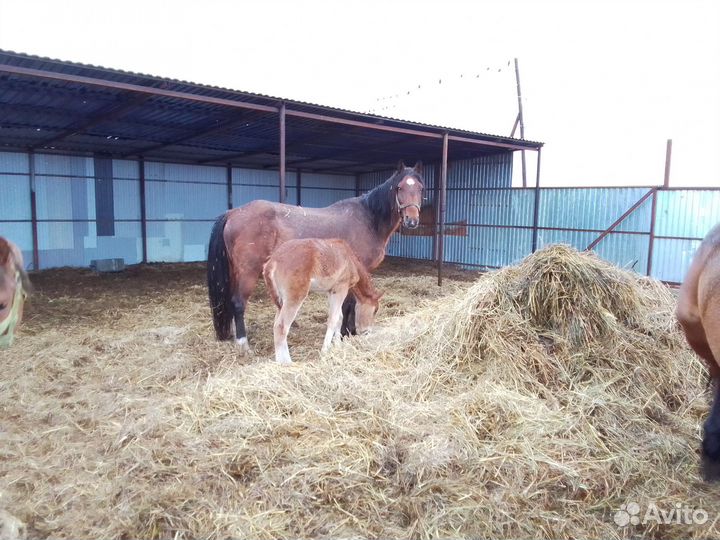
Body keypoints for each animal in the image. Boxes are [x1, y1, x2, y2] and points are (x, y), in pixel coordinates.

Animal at [207, 160, 424, 353]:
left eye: (420, 188)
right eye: (399, 187)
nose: (412, 220)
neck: (368, 219)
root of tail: (233, 212)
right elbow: (349, 305)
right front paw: (346, 333)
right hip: (248, 272)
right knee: (238, 303)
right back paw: (243, 344)